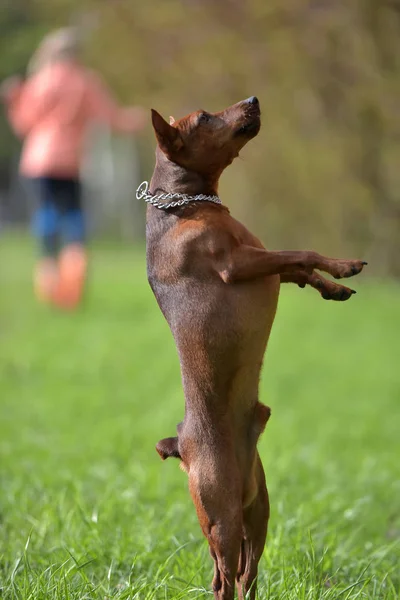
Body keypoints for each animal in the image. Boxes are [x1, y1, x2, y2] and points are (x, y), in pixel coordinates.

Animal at [142, 96, 368, 596]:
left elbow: (298, 268)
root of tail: (182, 446)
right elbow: (302, 253)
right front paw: (342, 266)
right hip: (222, 517)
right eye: (205, 118)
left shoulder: (263, 266)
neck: (185, 207)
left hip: (257, 509)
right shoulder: (238, 264)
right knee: (224, 577)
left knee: (243, 571)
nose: (253, 100)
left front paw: (333, 286)